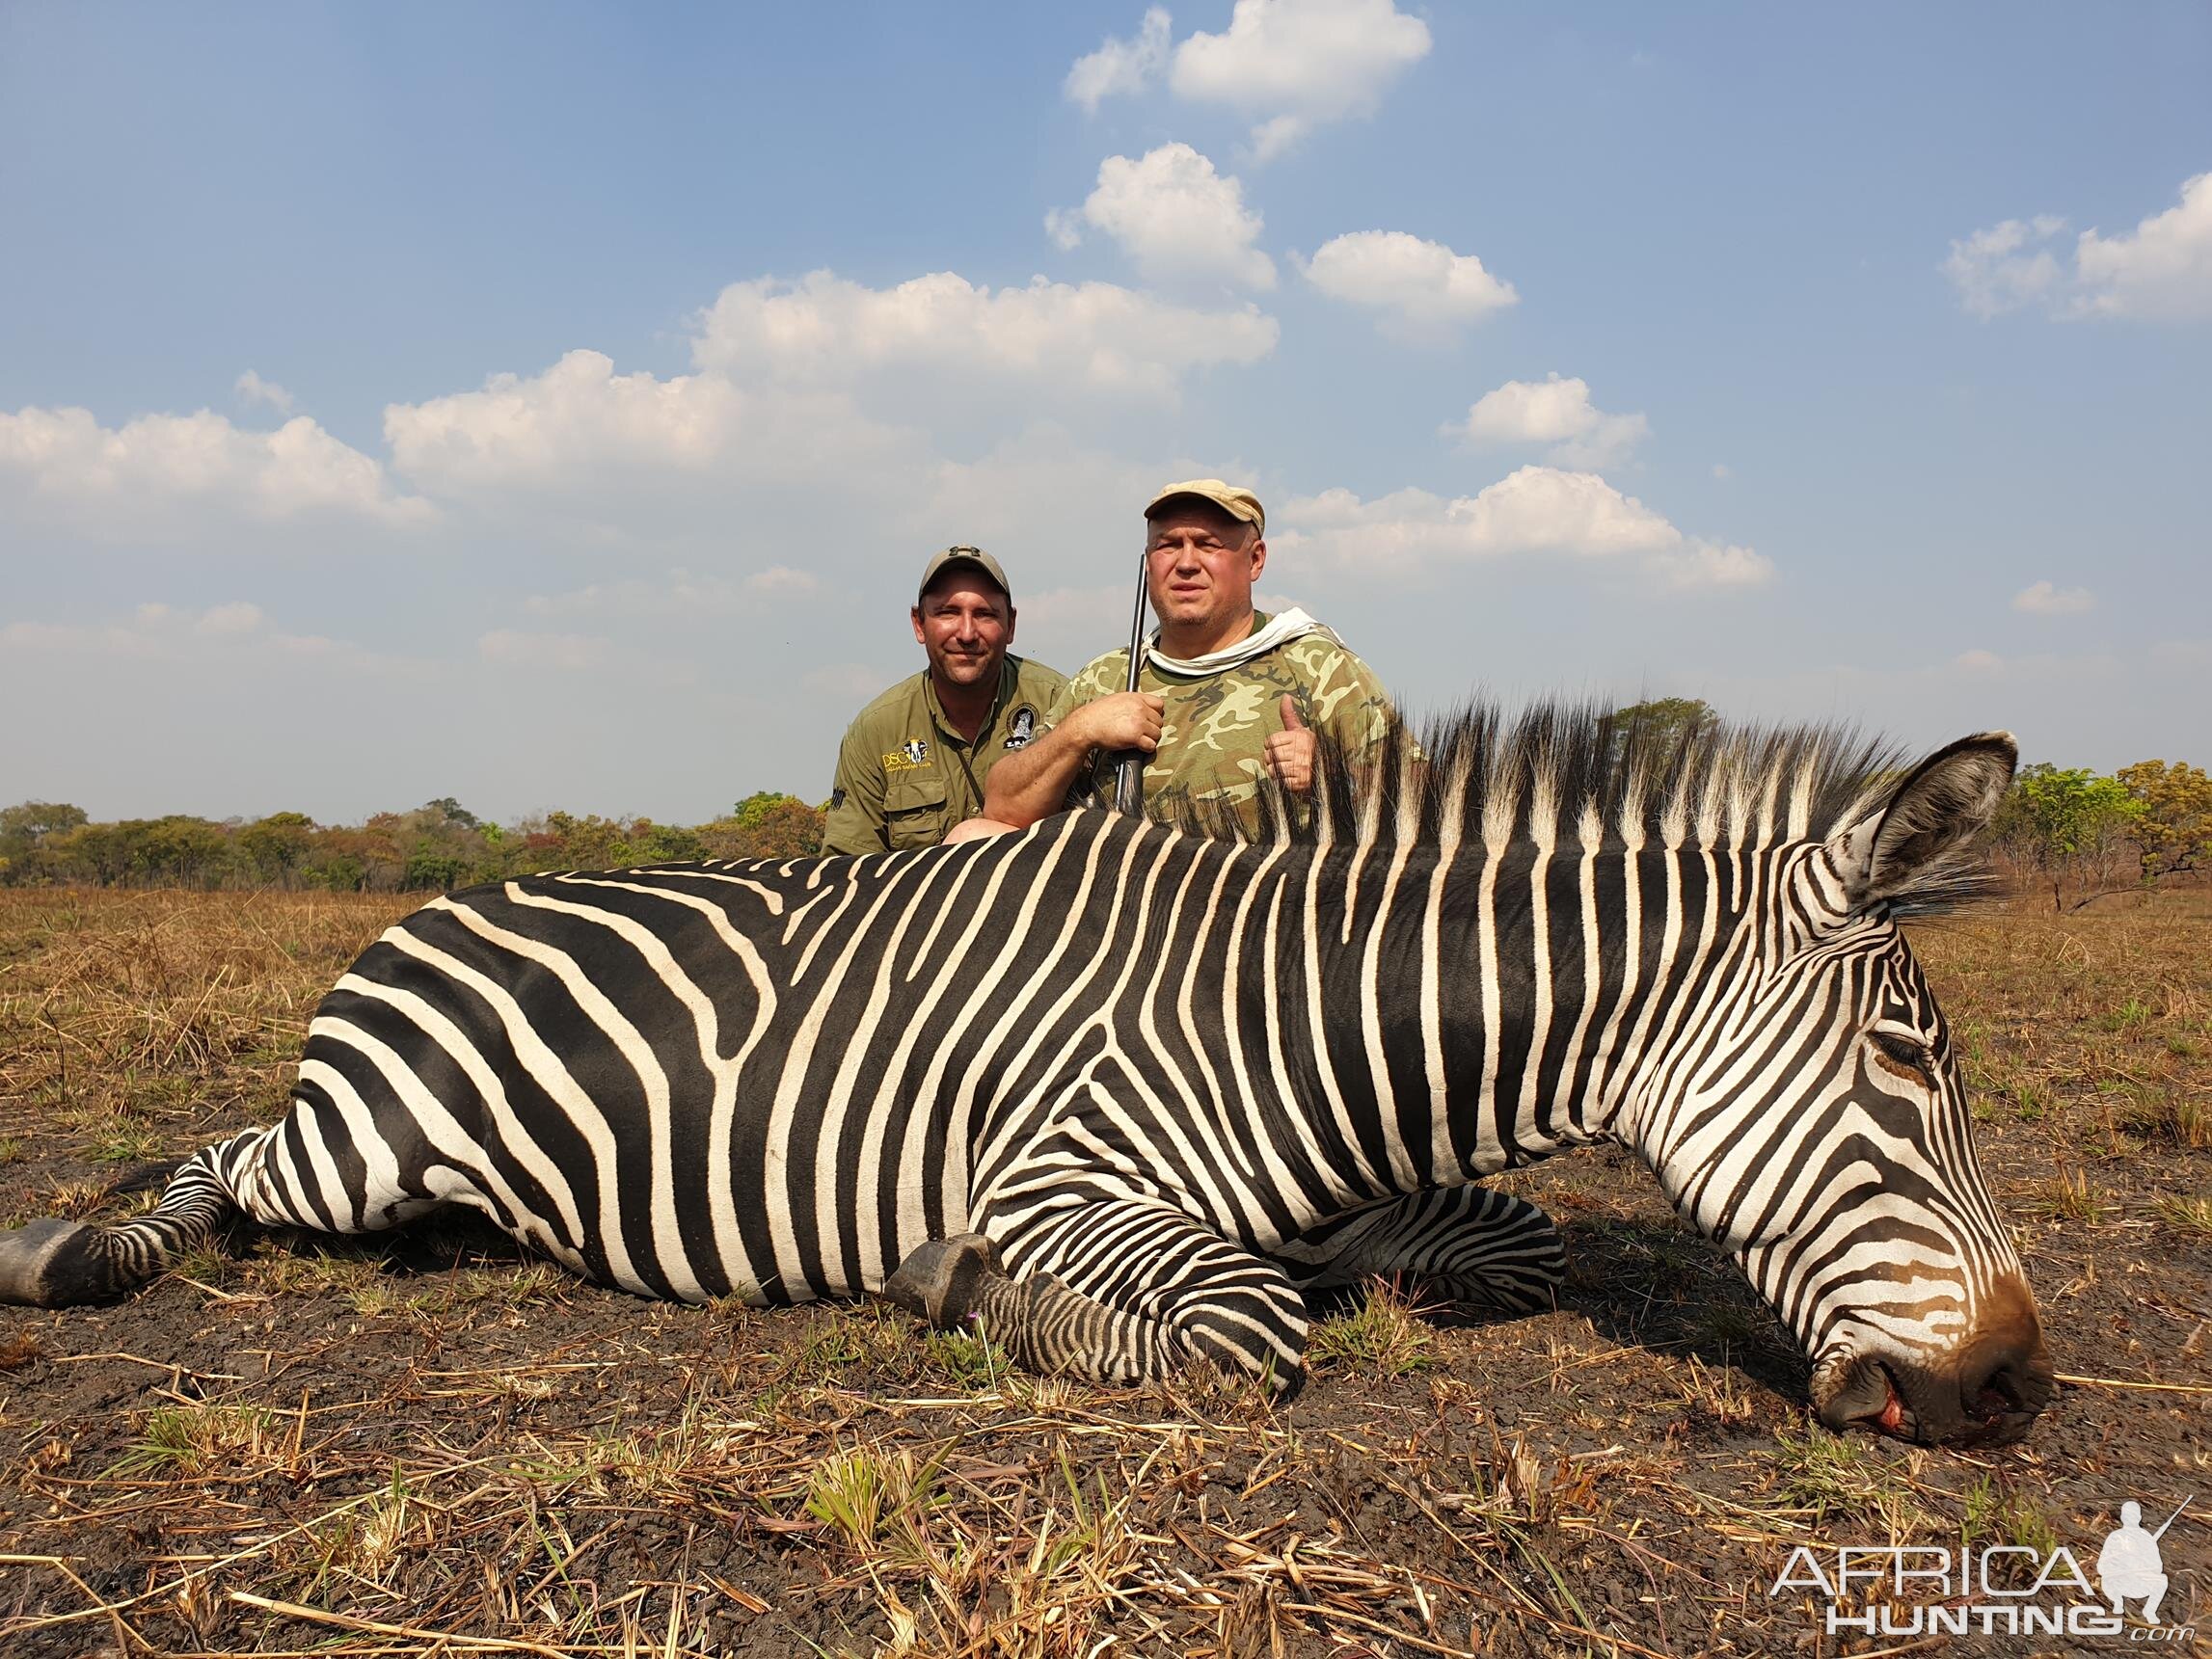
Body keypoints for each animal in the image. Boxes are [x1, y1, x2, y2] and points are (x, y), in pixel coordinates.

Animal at [0, 708, 2052, 1451]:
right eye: (1906, 1062)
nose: (2015, 1389)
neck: (1294, 1015)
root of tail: (427, 897)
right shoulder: (1061, 1176)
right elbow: (1234, 1329)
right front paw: (950, 1285)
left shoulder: (1366, 1189)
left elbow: (1516, 1240)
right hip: (353, 1138)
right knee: (217, 1153)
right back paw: (69, 1252)